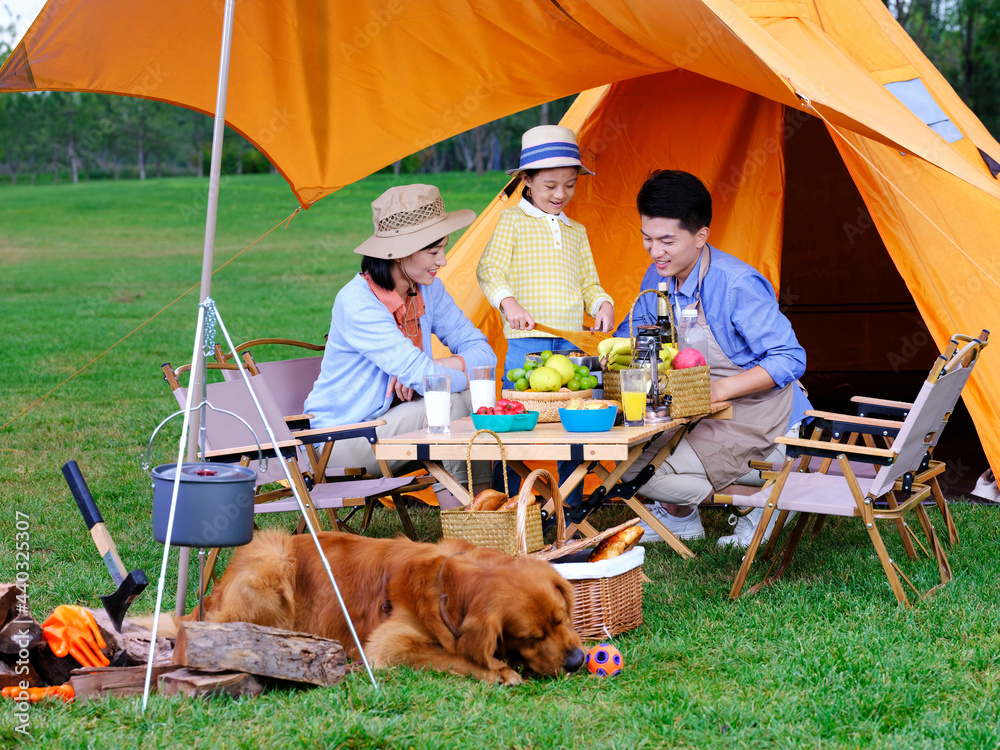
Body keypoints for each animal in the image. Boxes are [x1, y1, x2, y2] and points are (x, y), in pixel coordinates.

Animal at [195, 528, 584, 688]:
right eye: (532, 636)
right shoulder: (390, 642)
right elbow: (451, 655)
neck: (447, 586)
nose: (578, 661)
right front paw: (499, 671)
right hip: (272, 559)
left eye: (562, 618)